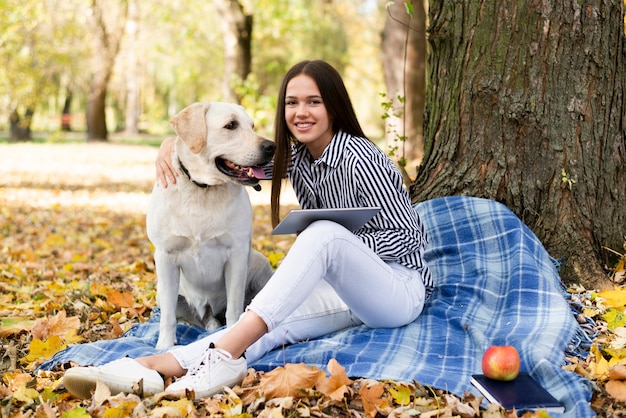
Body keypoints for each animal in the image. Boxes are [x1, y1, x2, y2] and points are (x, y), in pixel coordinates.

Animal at [147, 102, 274, 350]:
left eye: (252, 126)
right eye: (231, 125)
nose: (271, 147)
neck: (202, 190)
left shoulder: (236, 254)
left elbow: (234, 309)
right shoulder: (165, 257)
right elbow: (167, 316)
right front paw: (165, 345)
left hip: (259, 261)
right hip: (163, 290)